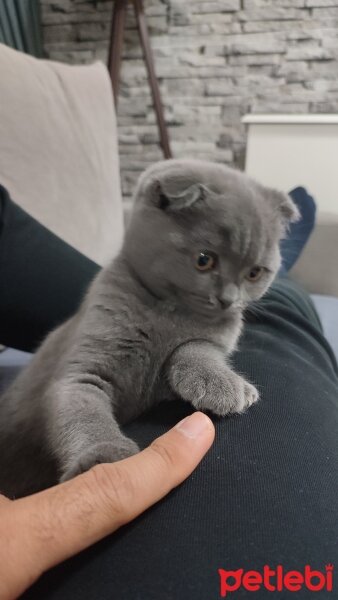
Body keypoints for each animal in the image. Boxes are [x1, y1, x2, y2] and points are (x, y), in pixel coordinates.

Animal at [0, 158, 298, 496]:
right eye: (204, 260)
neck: (171, 313)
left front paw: (220, 382)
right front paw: (103, 459)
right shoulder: (82, 367)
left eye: (254, 273)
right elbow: (82, 408)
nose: (228, 300)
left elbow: (196, 346)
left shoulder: (216, 338)